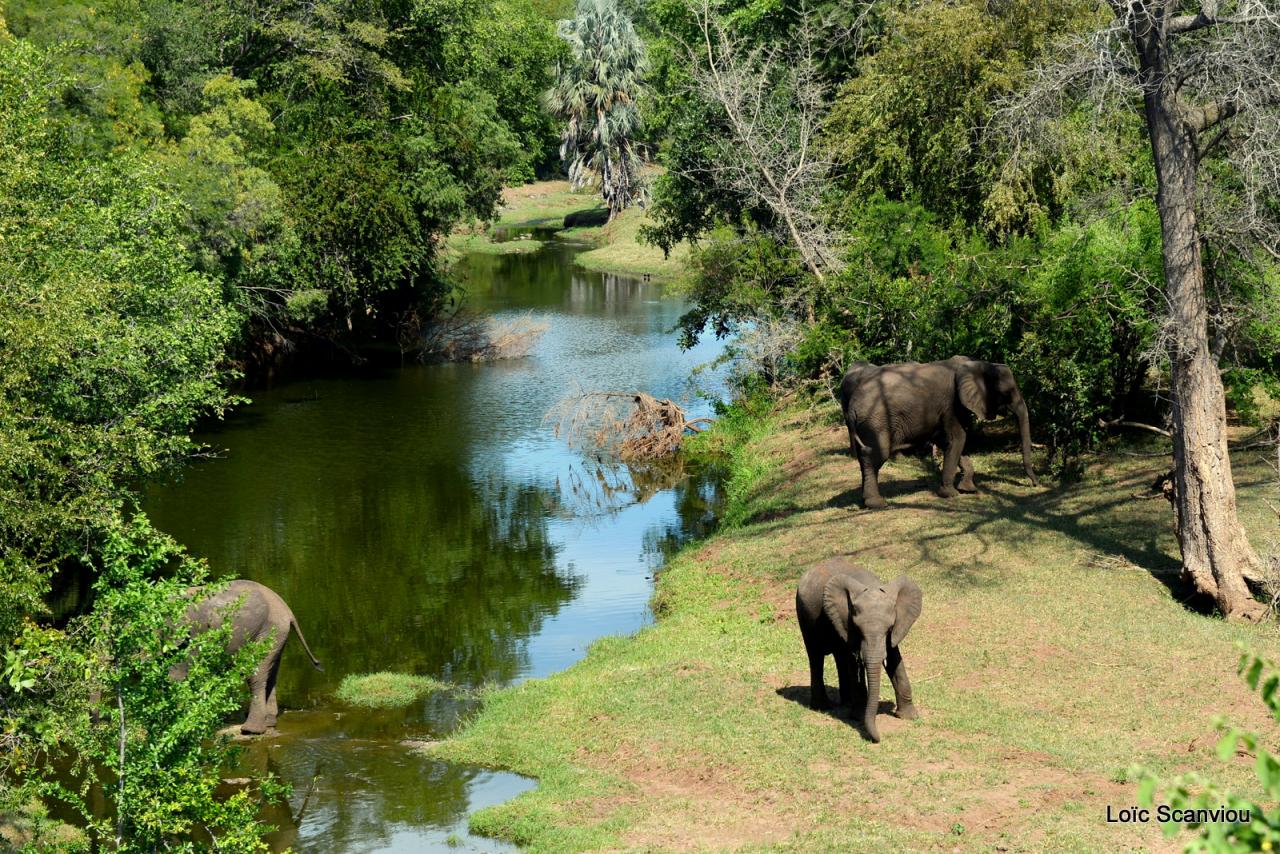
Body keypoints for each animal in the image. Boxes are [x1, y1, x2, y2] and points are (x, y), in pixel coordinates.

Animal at [171, 581, 322, 737]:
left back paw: (250, 730)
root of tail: (286, 607)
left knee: (255, 672)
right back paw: (268, 721)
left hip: (269, 629)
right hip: (277, 632)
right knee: (271, 671)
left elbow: (176, 676)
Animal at [788, 558, 921, 742]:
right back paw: (823, 707)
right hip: (804, 614)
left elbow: (895, 658)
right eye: (858, 630)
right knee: (816, 656)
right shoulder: (846, 621)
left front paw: (909, 717)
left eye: (889, 628)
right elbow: (853, 661)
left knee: (839, 656)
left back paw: (845, 702)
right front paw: (858, 717)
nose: (878, 738)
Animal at [839, 353, 1039, 507]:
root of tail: (853, 406)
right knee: (874, 455)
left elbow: (952, 442)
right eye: (1007, 393)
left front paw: (968, 489)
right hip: (876, 421)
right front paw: (951, 494)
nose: (1035, 484)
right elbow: (958, 438)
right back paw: (877, 504)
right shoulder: (952, 404)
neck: (976, 363)